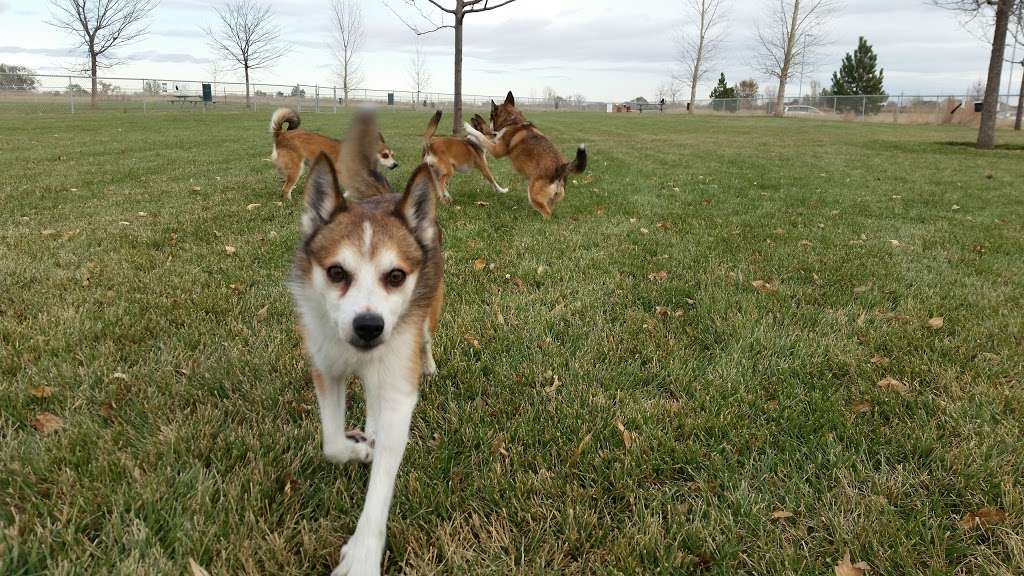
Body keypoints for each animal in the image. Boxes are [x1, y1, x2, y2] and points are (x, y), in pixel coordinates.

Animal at [266, 108, 397, 200]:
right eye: (385, 155)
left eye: (392, 155)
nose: (395, 165)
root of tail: (281, 135)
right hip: (296, 169)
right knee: (285, 189)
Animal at [292, 109, 444, 569]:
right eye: (336, 272)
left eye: (395, 276)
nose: (368, 326)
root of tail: (386, 195)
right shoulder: (326, 370)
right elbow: (331, 444)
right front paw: (358, 449)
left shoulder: (397, 385)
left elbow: (382, 483)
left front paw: (362, 555)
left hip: (427, 315)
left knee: (424, 339)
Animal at [462, 90, 585, 218]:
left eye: (491, 116)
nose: (490, 128)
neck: (512, 121)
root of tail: (561, 168)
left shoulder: (496, 150)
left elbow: (482, 136)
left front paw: (470, 129)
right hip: (552, 198)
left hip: (533, 194)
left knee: (547, 213)